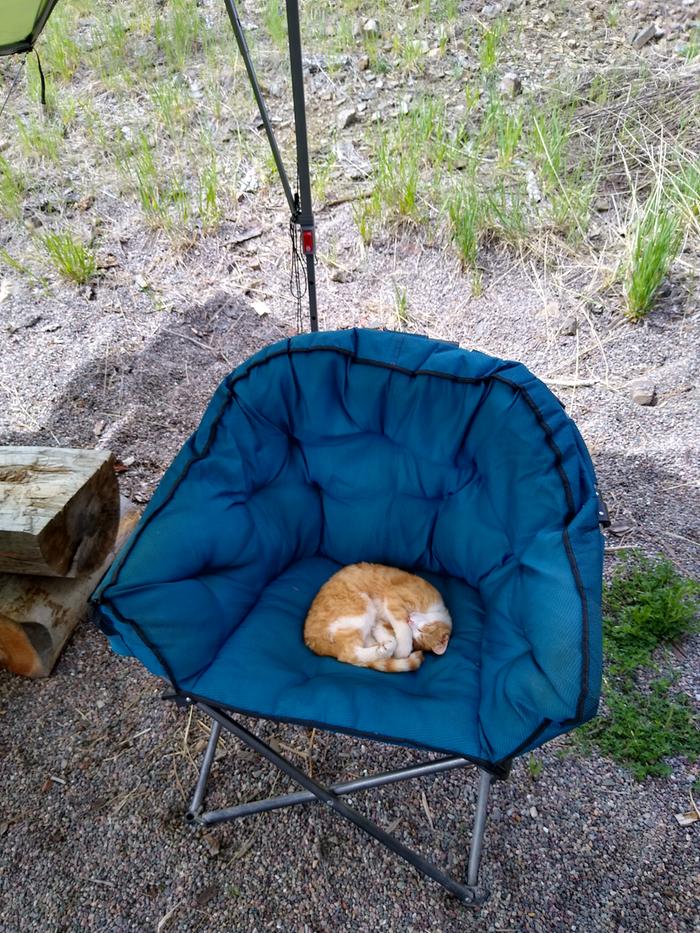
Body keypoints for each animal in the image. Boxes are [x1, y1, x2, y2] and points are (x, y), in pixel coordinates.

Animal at [304, 560, 452, 668]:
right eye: (420, 631)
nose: (410, 620)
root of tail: (311, 640)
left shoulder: (381, 622)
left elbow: (386, 631)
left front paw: (392, 643)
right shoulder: (394, 599)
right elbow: (403, 629)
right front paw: (402, 650)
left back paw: (384, 647)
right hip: (359, 609)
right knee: (348, 654)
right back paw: (385, 649)